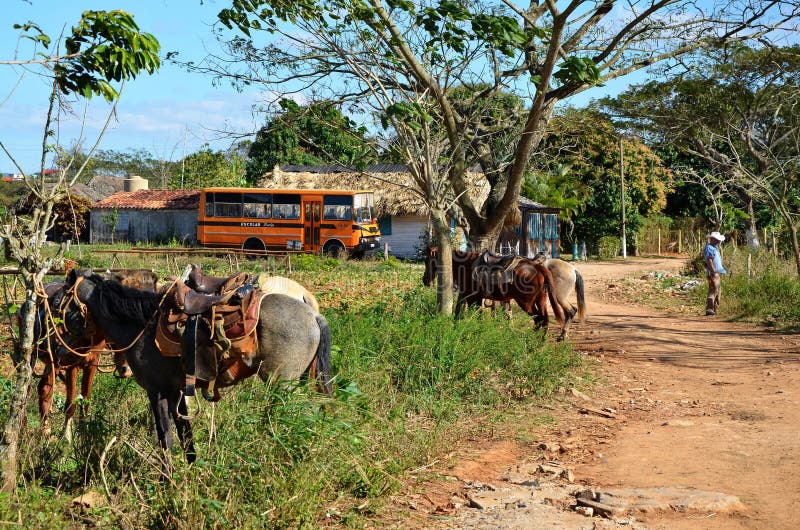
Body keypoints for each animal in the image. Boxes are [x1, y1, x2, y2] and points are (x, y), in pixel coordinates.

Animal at [422, 248, 564, 330]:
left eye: (427, 260)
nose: (425, 280)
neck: (465, 265)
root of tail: (538, 267)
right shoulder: (473, 298)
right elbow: (472, 316)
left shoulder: (472, 298)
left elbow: (474, 317)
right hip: (540, 300)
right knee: (544, 320)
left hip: (526, 302)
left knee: (539, 319)